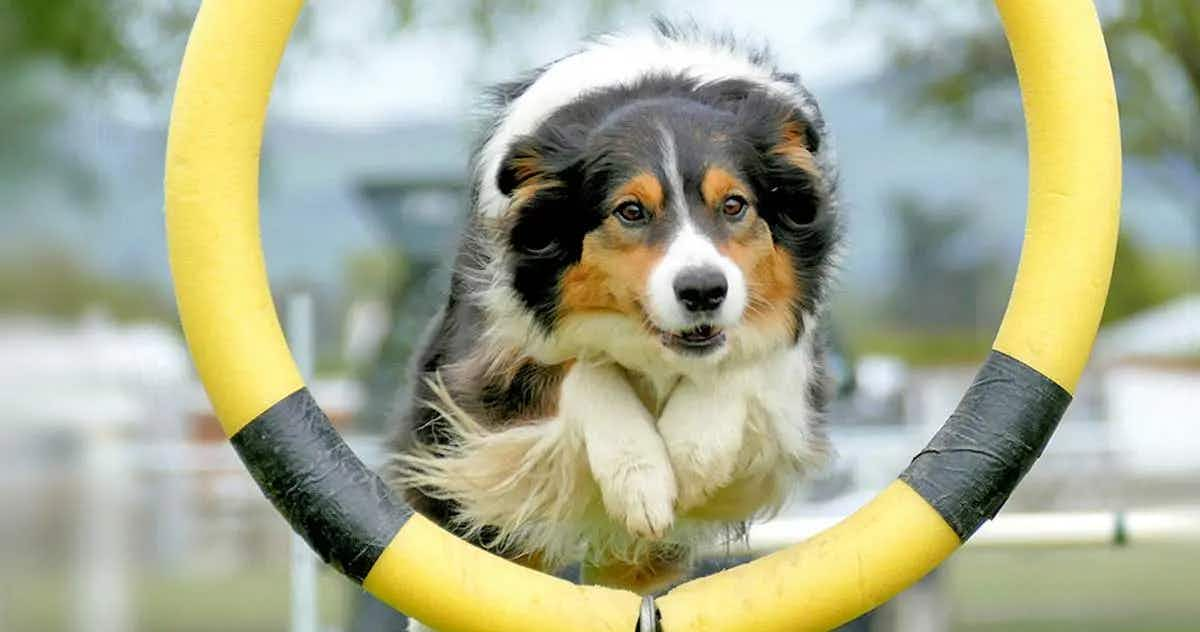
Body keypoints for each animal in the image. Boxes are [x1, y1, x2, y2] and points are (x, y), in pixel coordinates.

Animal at [388, 20, 840, 618]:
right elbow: (586, 371)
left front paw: (688, 459)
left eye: (735, 205)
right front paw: (643, 479)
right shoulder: (491, 362)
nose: (703, 291)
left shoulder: (790, 361)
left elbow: (743, 362)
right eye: (630, 211)